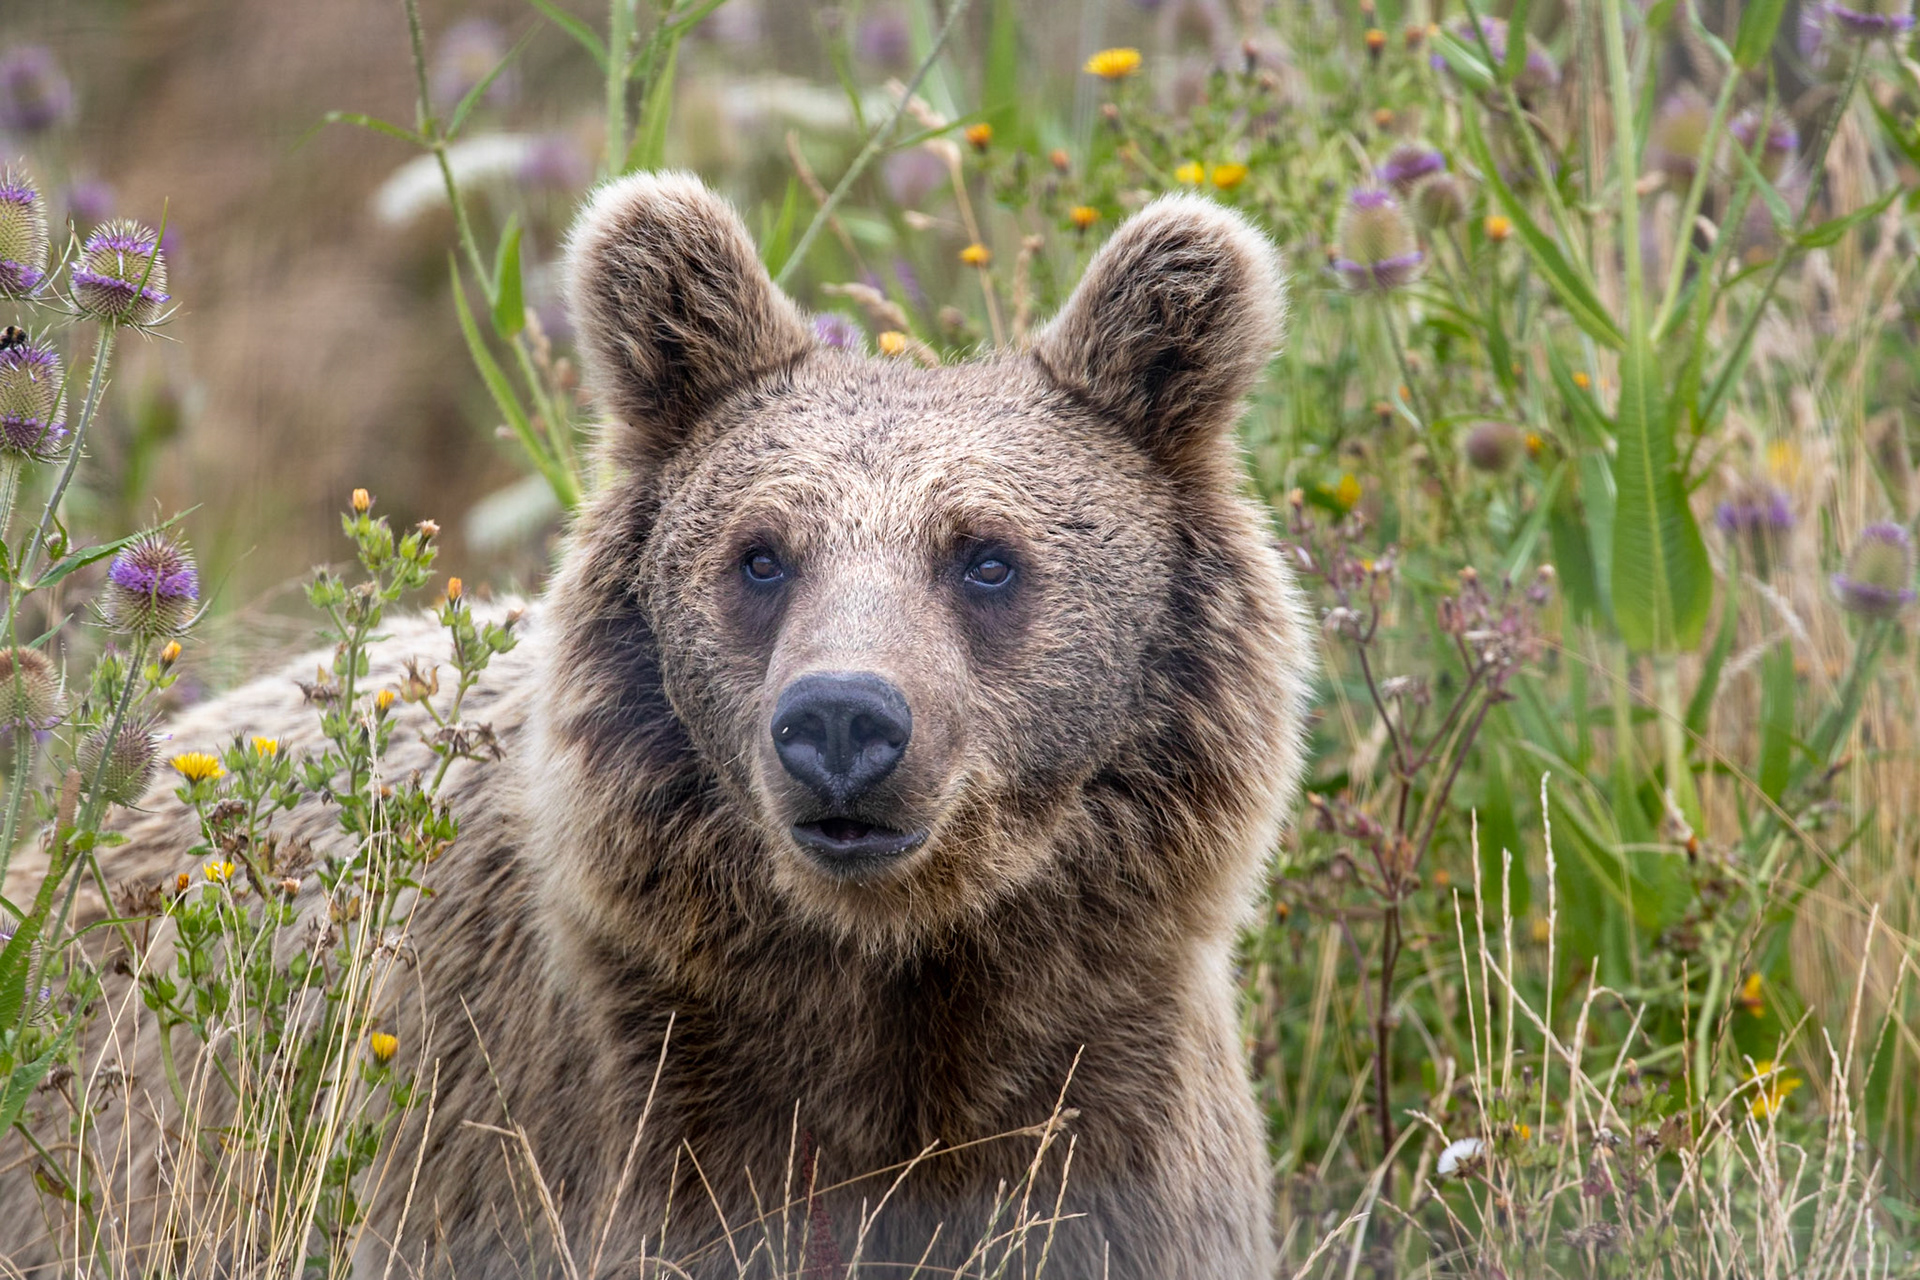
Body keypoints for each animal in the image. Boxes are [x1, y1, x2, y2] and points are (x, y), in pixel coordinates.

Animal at [0, 171, 1312, 1278]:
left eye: (987, 556)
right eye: (761, 554)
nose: (843, 719)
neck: (892, 967)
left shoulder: (1109, 1103)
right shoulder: (619, 1119)